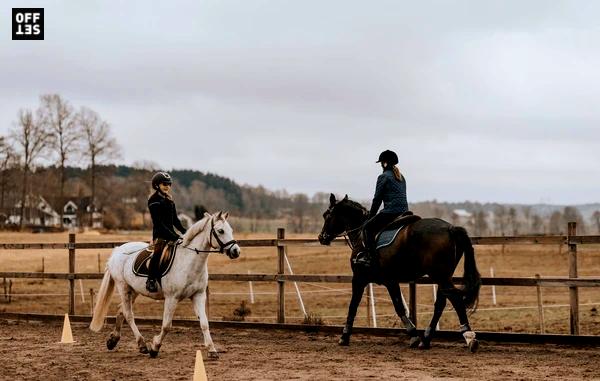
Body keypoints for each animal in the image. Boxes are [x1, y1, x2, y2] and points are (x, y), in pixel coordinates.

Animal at [89, 211, 239, 356]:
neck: (189, 261)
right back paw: (142, 344)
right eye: (220, 231)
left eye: (231, 230)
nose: (236, 251)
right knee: (128, 314)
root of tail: (117, 250)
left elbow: (204, 323)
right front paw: (155, 347)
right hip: (123, 287)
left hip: (134, 290)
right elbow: (167, 325)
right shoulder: (172, 298)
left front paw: (212, 350)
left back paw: (113, 340)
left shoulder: (198, 295)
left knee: (121, 310)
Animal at [318, 194, 482, 352]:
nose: (321, 237)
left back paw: (469, 337)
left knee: (456, 300)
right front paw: (414, 335)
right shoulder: (390, 281)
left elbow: (353, 305)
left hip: (440, 276)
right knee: (441, 304)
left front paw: (344, 337)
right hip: (443, 277)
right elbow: (399, 307)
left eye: (327, 215)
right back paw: (426, 340)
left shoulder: (359, 278)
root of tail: (450, 228)